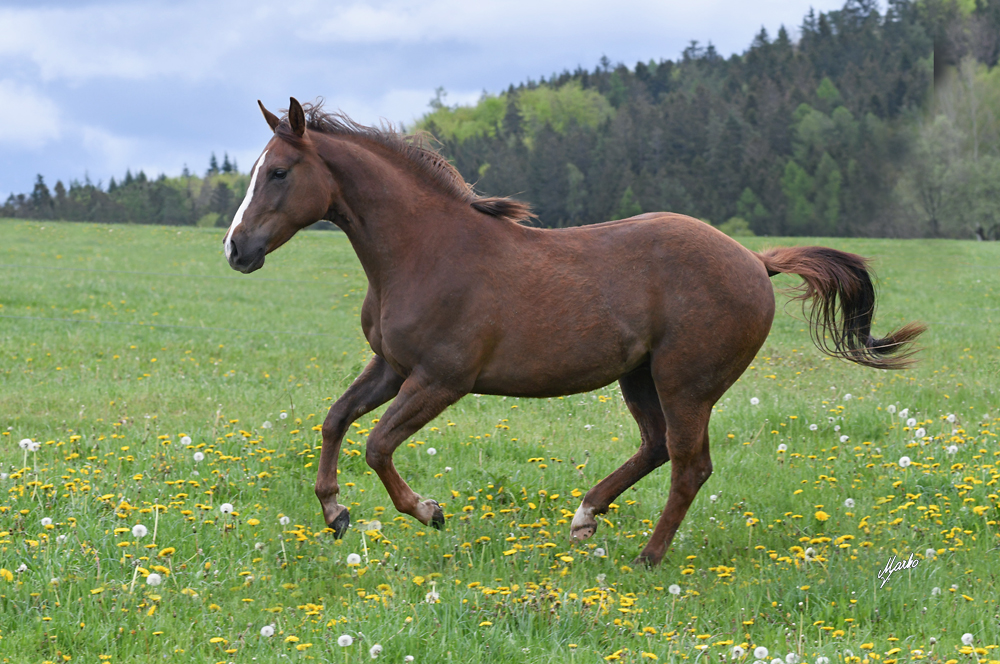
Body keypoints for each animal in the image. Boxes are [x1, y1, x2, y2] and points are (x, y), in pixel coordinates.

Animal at [223, 98, 924, 564]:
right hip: (639, 378)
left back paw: (647, 557)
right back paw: (587, 517)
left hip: (686, 382)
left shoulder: (441, 379)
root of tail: (755, 260)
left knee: (689, 465)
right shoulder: (392, 366)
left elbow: (377, 446)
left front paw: (428, 510)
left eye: (279, 172)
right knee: (658, 448)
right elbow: (336, 420)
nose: (236, 249)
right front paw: (335, 512)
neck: (424, 251)